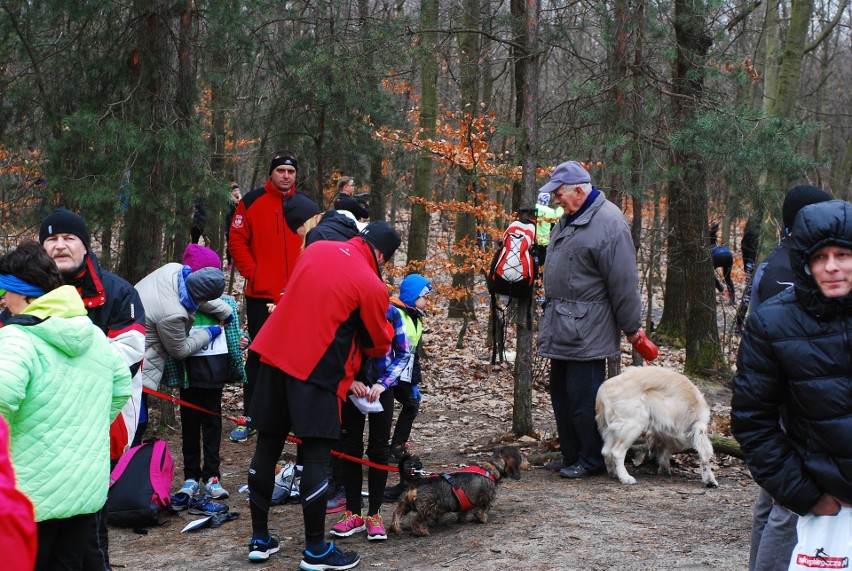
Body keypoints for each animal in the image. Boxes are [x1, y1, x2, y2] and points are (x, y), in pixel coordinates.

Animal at [596, 366, 724, 488]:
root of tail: (604, 388)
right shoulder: (697, 427)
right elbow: (704, 456)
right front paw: (710, 479)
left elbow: (666, 449)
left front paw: (664, 468)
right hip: (633, 426)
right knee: (616, 452)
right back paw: (625, 477)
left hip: (612, 430)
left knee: (605, 451)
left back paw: (614, 473)